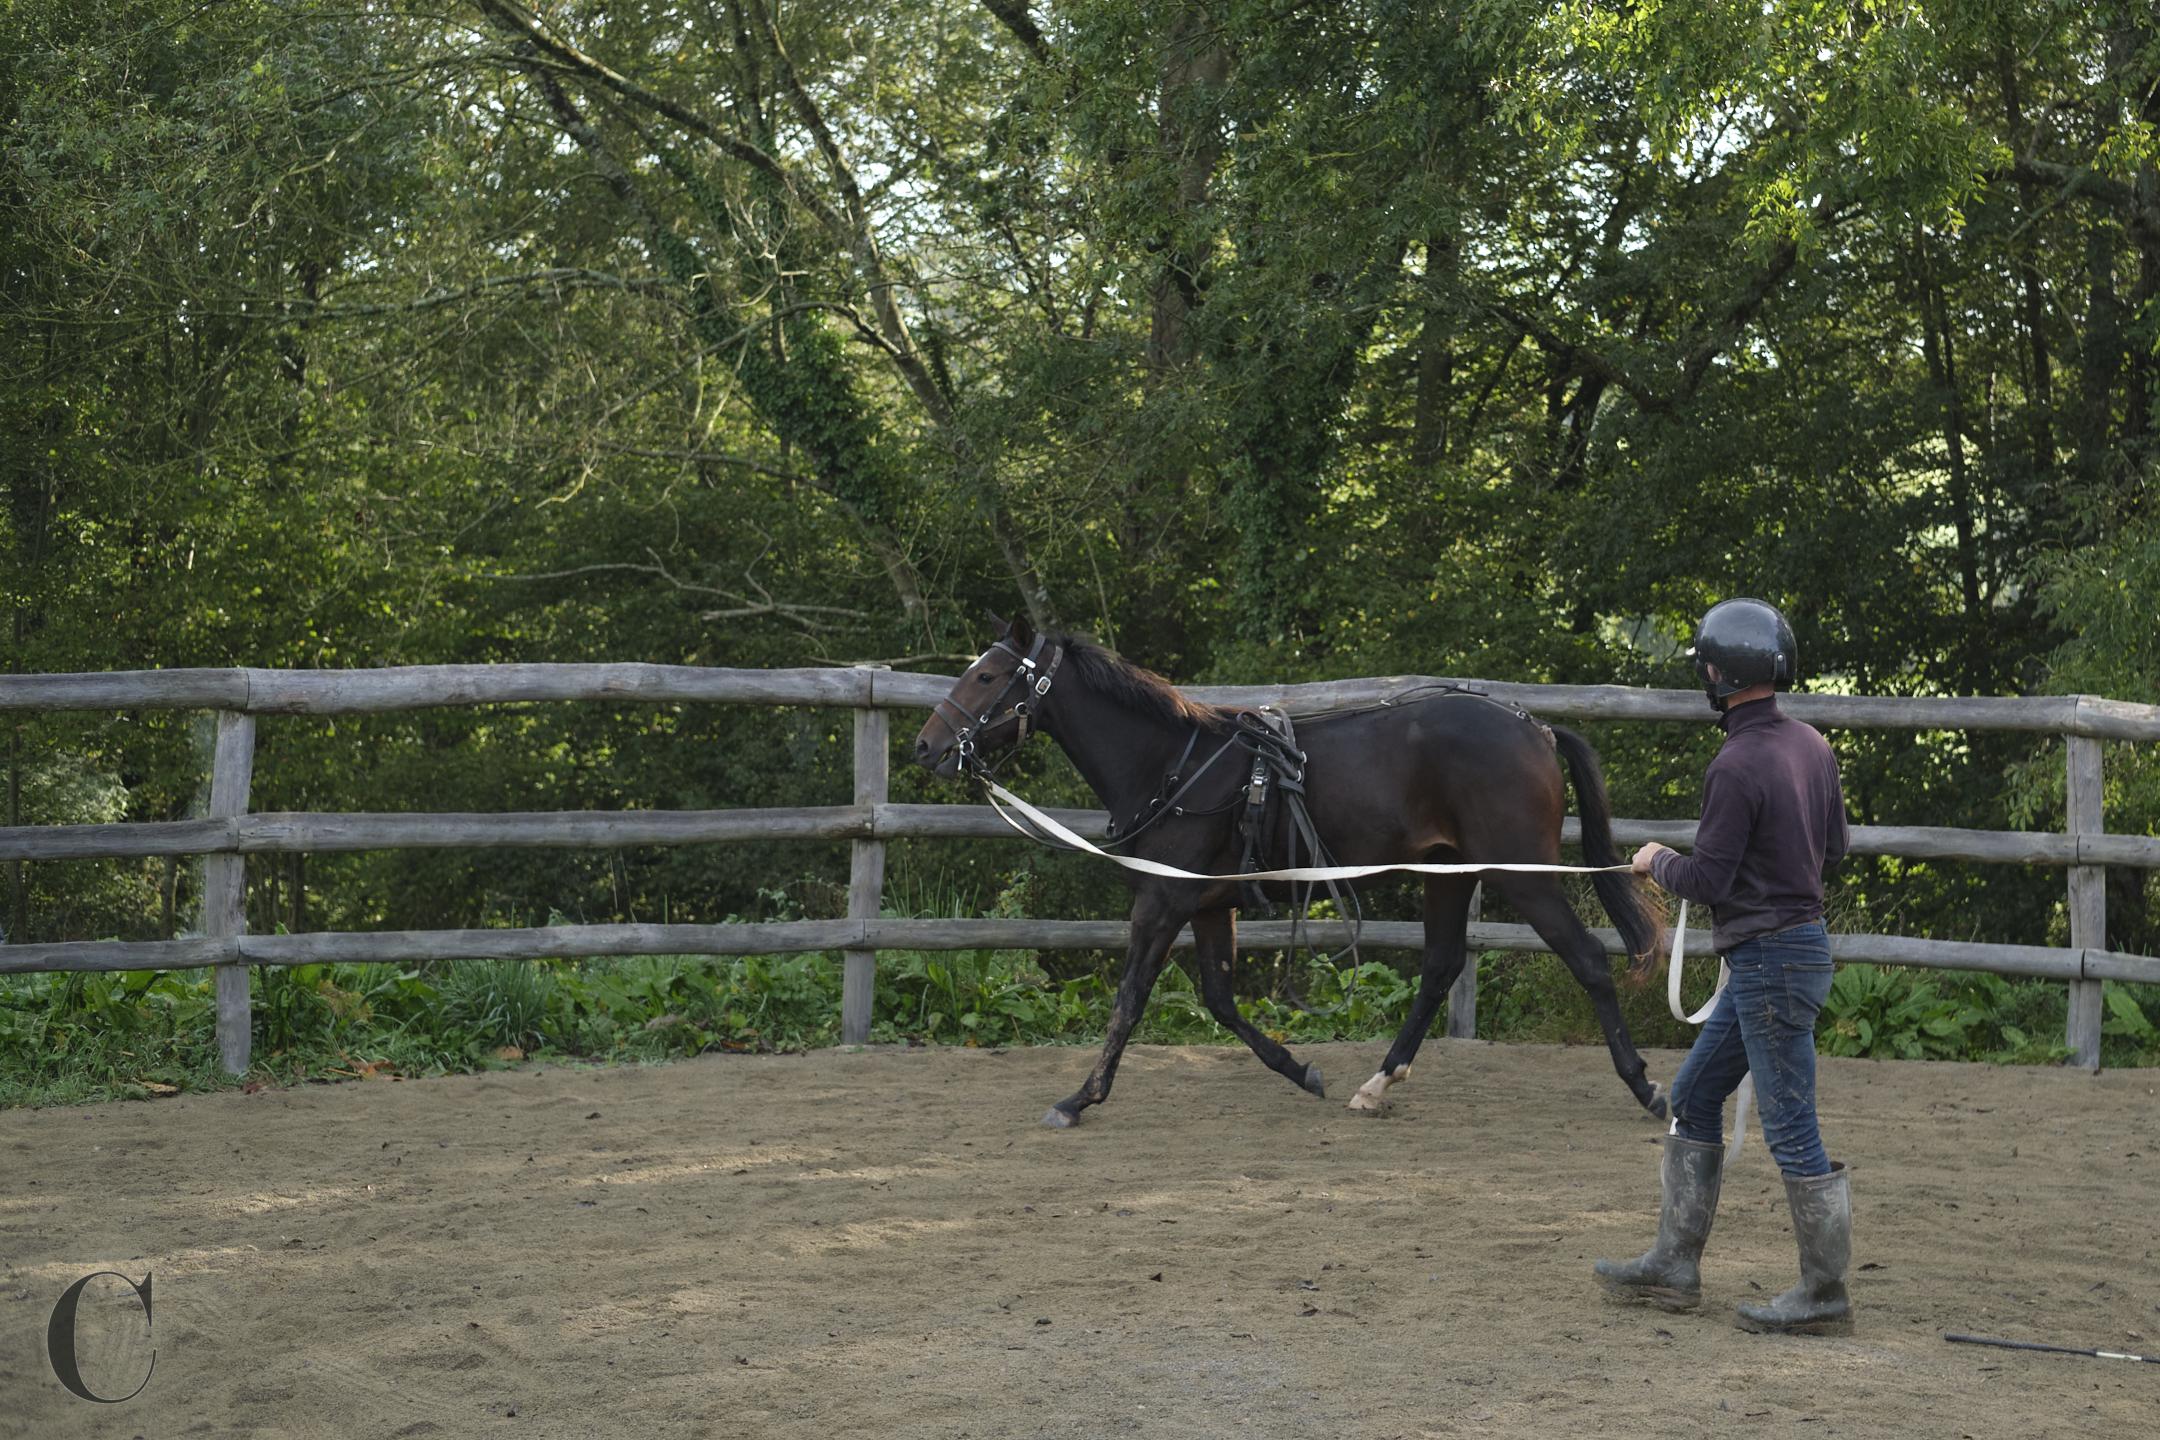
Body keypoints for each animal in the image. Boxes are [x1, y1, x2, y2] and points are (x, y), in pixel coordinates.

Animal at [911, 613, 1667, 1131]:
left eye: (986, 676)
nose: (927, 747)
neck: (1175, 764)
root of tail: (1535, 727)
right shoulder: (1209, 906)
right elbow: (1220, 1001)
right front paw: (1301, 1070)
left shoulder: (1162, 902)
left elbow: (1129, 1000)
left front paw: (1079, 1098)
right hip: (1450, 873)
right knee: (1441, 966)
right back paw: (1376, 1084)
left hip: (1523, 877)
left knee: (1588, 959)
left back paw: (1646, 1087)